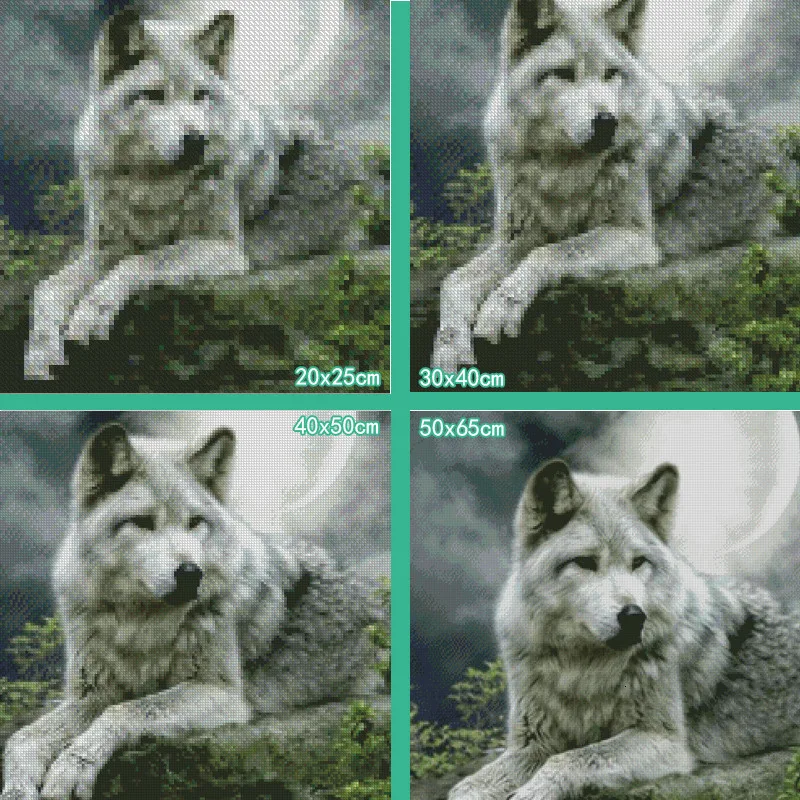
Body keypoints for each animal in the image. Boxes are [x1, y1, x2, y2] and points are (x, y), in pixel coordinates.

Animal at [0, 423, 384, 800]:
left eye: (195, 521)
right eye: (142, 522)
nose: (190, 572)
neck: (141, 625)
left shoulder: (221, 694)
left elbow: (124, 711)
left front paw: (72, 768)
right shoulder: (93, 694)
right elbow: (23, 736)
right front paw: (17, 789)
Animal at [25, 5, 367, 380]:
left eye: (200, 95)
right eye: (154, 95)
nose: (196, 140)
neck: (150, 183)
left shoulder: (226, 250)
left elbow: (142, 261)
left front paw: (90, 315)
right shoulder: (104, 249)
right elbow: (47, 289)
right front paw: (39, 353)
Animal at [432, 0, 776, 372]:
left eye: (611, 73)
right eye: (565, 73)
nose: (608, 121)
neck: (563, 171)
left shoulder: (635, 238)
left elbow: (550, 253)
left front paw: (501, 307)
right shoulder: (523, 235)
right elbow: (455, 280)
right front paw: (448, 347)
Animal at [449, 459, 800, 800]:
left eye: (638, 562)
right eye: (585, 562)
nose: (634, 616)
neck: (583, 670)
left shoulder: (664, 742)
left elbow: (571, 758)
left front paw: (532, 792)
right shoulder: (532, 743)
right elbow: (465, 787)